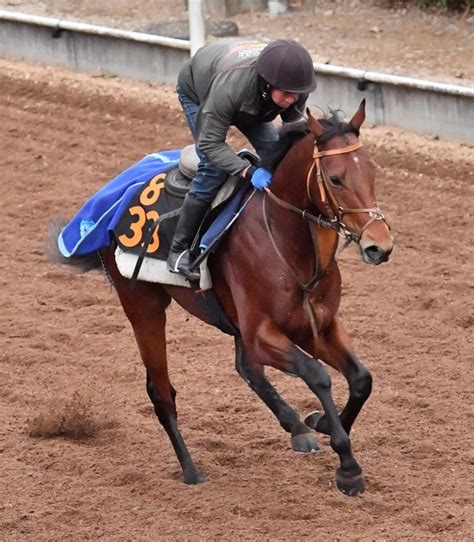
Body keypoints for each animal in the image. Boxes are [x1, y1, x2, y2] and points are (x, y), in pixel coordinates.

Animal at [50, 101, 394, 498]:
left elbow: (361, 378)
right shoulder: (262, 334)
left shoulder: (317, 326)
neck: (289, 245)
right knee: (161, 390)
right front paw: (347, 465)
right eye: (336, 179)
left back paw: (296, 428)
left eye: (371, 171)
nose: (380, 246)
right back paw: (191, 470)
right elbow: (317, 375)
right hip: (143, 305)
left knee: (246, 368)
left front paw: (320, 423)